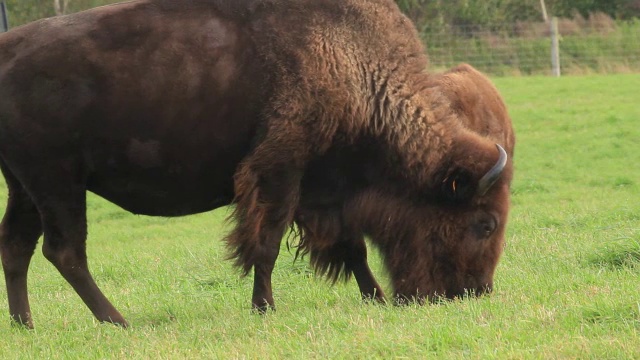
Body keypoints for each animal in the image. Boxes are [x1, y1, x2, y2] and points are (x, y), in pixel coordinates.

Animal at [0, 0, 512, 330]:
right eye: (484, 223)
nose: (475, 291)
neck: (355, 66)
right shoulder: (281, 169)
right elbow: (266, 244)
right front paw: (264, 308)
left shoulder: (322, 188)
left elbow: (352, 248)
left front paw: (376, 297)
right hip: (57, 184)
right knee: (65, 251)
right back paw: (117, 322)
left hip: (26, 189)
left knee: (17, 246)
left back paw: (27, 327)